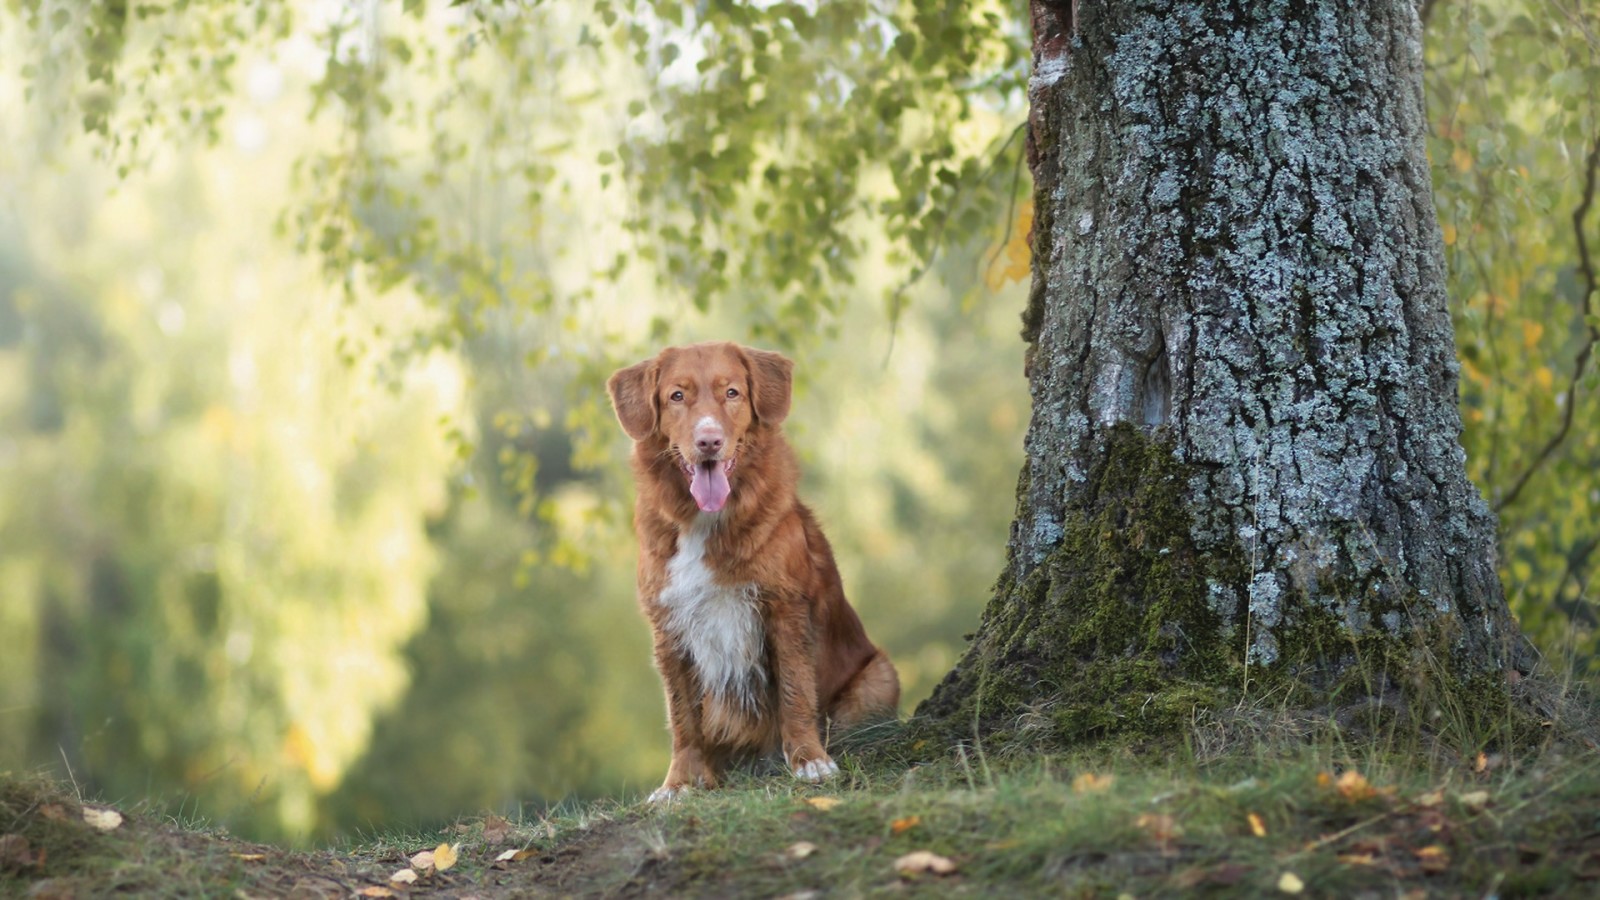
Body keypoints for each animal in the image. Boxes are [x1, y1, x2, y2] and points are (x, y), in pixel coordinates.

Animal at [604, 339, 902, 794]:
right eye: (677, 396)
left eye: (732, 393)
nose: (709, 441)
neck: (705, 522)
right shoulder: (669, 625)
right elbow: (681, 715)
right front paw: (680, 783)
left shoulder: (784, 607)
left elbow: (796, 691)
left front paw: (809, 760)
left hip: (879, 675)